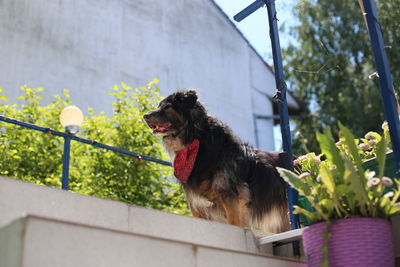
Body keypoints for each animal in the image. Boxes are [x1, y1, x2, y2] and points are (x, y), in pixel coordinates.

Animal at [144, 90, 290, 234]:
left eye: (167, 107)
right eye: (159, 106)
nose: (145, 116)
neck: (197, 141)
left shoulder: (230, 198)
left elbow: (234, 223)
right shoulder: (197, 206)